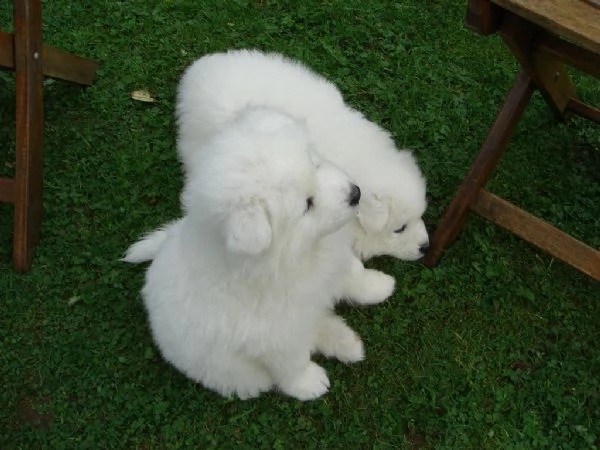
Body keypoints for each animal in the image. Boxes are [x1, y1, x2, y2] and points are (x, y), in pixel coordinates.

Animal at [123, 106, 394, 400]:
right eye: (307, 204)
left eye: (316, 164)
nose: (356, 193)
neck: (300, 255)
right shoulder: (277, 340)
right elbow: (293, 365)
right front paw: (309, 384)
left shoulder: (333, 263)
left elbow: (354, 275)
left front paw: (380, 285)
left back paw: (348, 343)